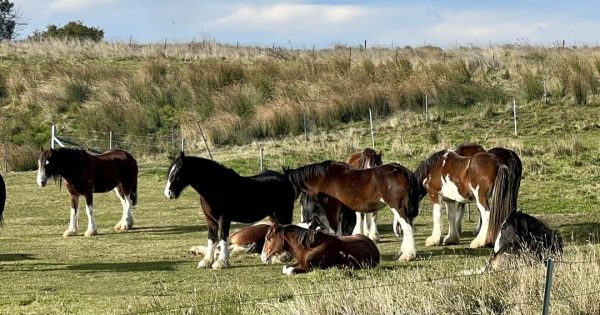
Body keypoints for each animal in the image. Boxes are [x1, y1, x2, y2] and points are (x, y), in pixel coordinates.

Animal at [164, 152, 298, 270]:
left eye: (177, 173)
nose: (168, 193)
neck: (217, 187)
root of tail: (285, 179)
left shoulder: (224, 219)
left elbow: (223, 239)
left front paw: (221, 263)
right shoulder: (210, 220)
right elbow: (212, 239)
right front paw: (207, 261)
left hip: (283, 214)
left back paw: (283, 256)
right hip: (273, 216)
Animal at [284, 160, 418, 262]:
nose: (304, 220)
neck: (324, 178)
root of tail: (404, 172)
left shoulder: (332, 210)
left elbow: (333, 231)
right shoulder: (339, 212)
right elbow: (338, 233)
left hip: (398, 208)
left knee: (408, 229)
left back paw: (407, 255)